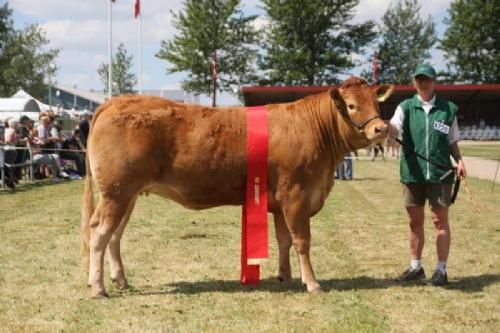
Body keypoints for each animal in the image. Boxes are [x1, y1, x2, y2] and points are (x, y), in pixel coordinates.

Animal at [82, 76, 392, 296]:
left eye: (377, 104)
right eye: (351, 106)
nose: (381, 129)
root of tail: (115, 102)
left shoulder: (281, 201)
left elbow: (284, 240)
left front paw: (285, 276)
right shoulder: (296, 196)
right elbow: (302, 241)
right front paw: (312, 283)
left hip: (126, 195)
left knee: (114, 235)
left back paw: (120, 280)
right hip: (116, 193)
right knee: (99, 232)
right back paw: (98, 288)